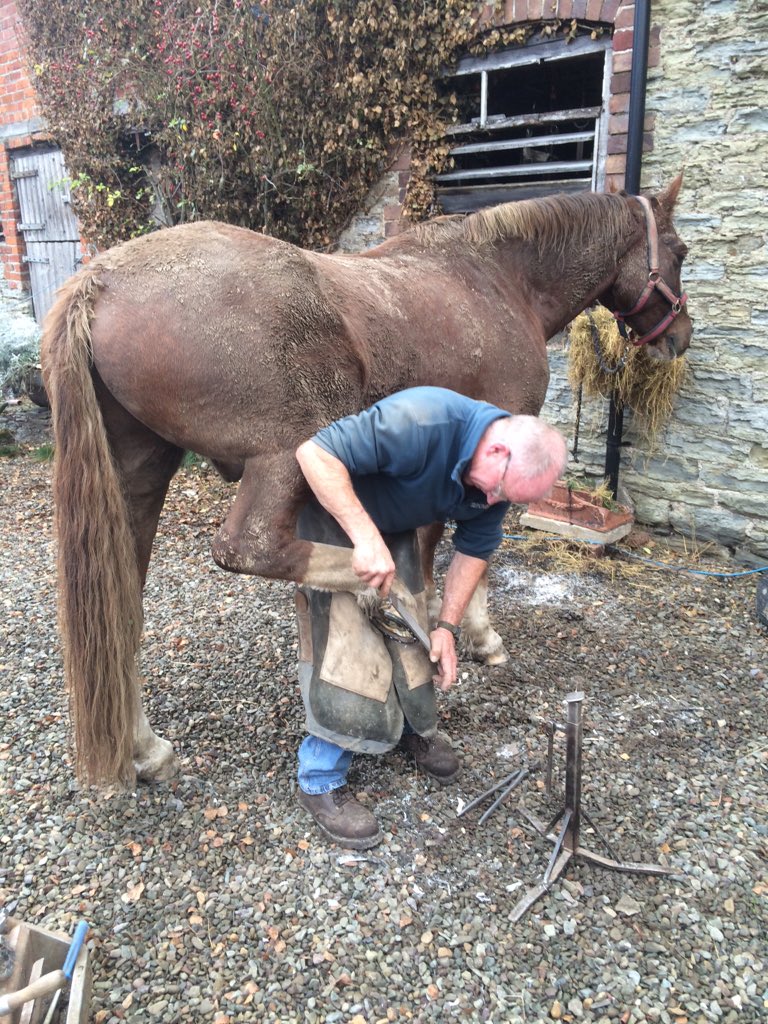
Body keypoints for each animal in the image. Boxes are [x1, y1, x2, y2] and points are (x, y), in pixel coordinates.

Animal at [41, 177, 691, 788]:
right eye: (680, 252)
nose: (679, 337)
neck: (501, 281)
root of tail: (99, 279)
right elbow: (455, 559)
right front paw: (473, 634)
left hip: (140, 482)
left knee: (120, 614)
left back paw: (145, 749)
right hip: (286, 454)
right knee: (252, 550)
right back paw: (377, 592)